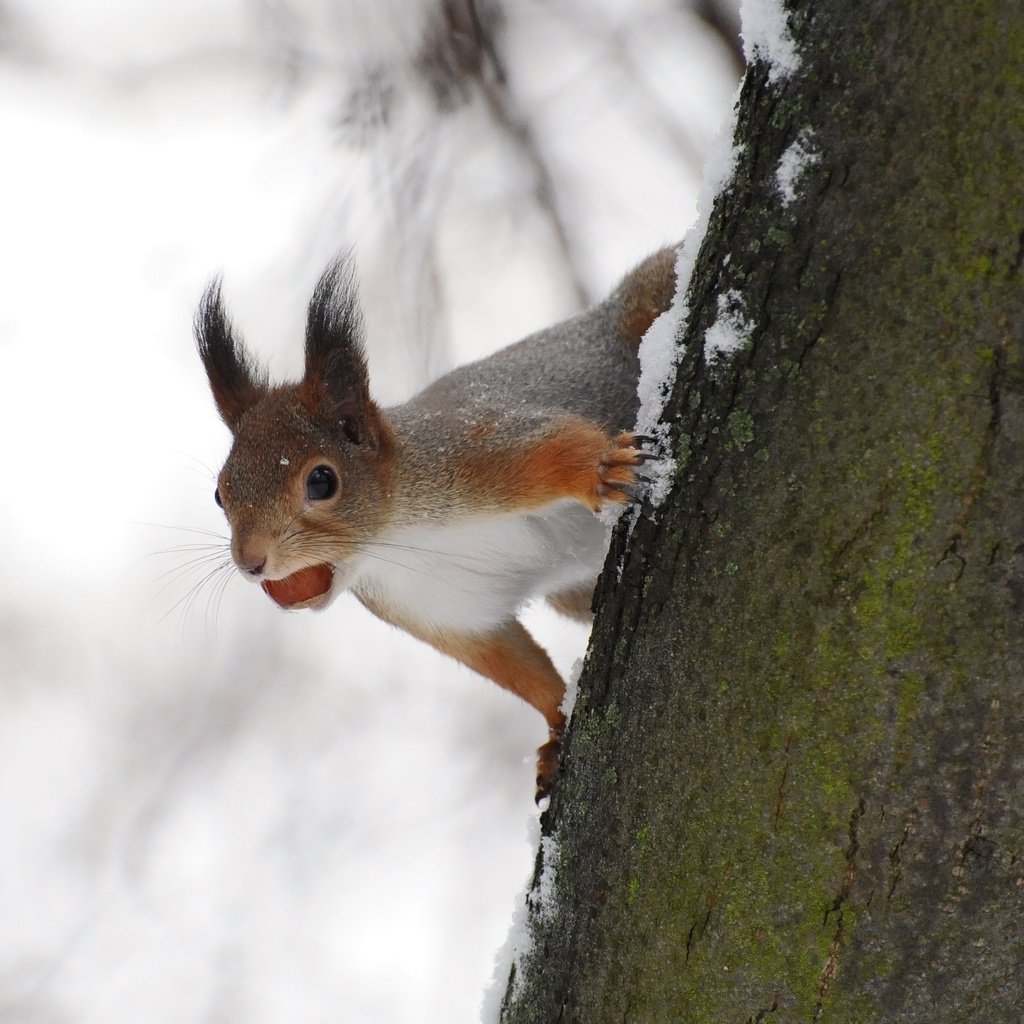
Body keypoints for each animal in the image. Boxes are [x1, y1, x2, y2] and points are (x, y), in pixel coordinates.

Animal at [197, 247, 679, 798]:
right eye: (220, 493)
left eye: (321, 481)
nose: (250, 562)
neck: (395, 540)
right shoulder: (439, 610)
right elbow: (515, 667)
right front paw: (557, 731)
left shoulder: (470, 451)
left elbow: (554, 445)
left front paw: (601, 471)